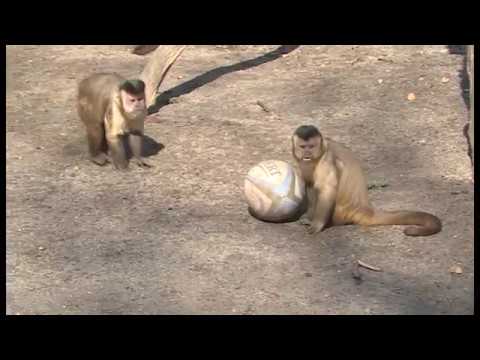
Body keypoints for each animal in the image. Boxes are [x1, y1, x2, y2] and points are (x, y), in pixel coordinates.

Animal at [290, 125, 440, 238]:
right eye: (303, 147)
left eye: (311, 146)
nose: (307, 154)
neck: (318, 155)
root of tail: (363, 208)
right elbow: (308, 182)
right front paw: (309, 216)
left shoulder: (326, 159)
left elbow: (328, 189)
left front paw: (317, 224)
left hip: (339, 213)